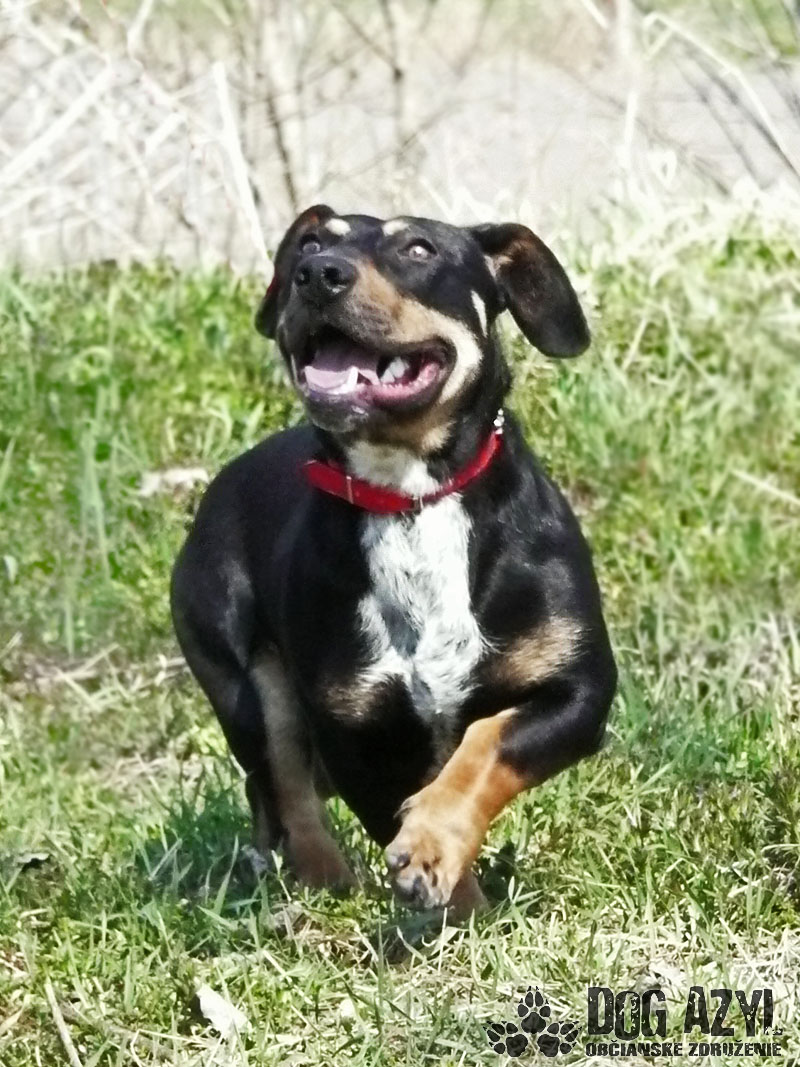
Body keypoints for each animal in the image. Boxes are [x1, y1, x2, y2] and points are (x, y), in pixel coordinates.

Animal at [170, 205, 616, 915]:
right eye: (312, 242)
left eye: (418, 248)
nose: (317, 274)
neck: (409, 497)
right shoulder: (355, 735)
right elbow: (390, 816)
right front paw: (454, 899)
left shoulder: (578, 691)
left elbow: (486, 746)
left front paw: (435, 847)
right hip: (245, 687)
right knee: (286, 789)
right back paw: (323, 885)